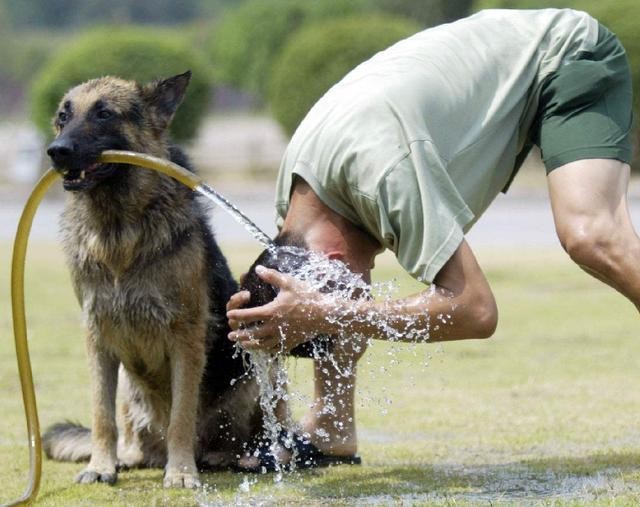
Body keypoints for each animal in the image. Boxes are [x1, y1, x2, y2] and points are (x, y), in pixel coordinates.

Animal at [43, 70, 262, 488]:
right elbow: (101, 415)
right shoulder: (97, 338)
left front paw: (181, 473)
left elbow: (181, 416)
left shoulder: (185, 339)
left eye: (104, 114)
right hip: (129, 391)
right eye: (64, 116)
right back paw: (129, 458)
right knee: (132, 437)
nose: (56, 151)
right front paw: (101, 466)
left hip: (256, 369)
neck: (118, 231)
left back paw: (232, 458)